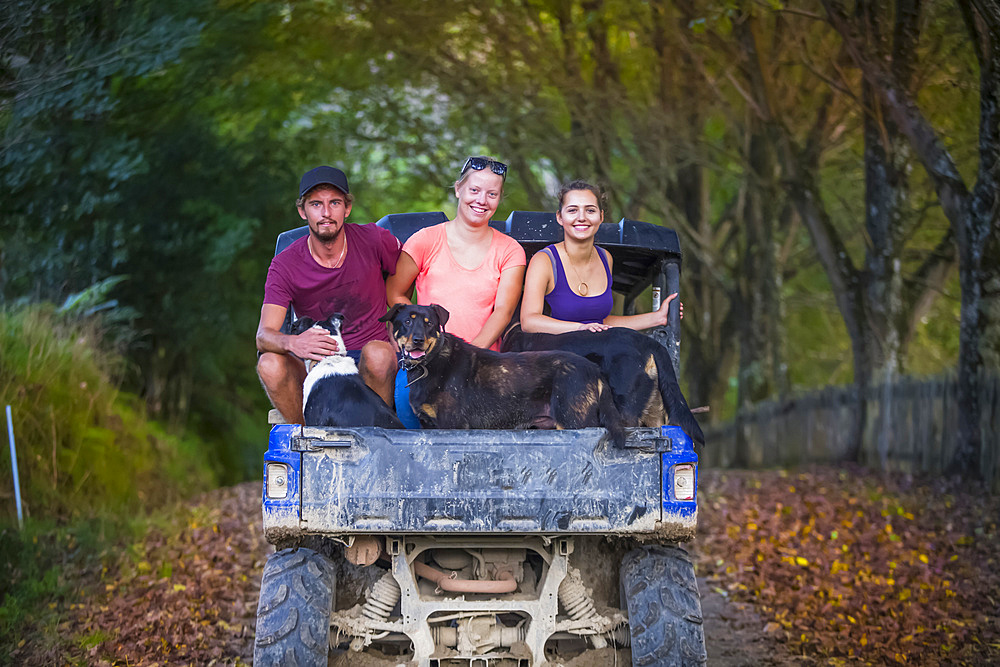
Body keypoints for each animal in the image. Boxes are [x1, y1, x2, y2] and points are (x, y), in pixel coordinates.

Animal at [378, 306, 620, 446]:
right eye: (407, 322)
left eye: (429, 324)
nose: (418, 340)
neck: (430, 363)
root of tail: (594, 370)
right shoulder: (427, 425)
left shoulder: (452, 425)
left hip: (574, 421)